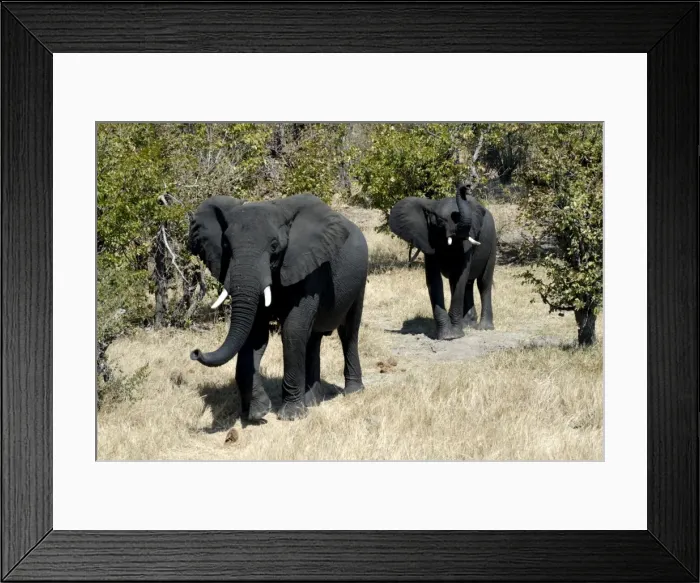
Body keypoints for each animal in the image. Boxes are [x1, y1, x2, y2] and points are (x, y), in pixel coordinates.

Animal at [189, 193, 369, 422]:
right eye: (226, 245)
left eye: (274, 246)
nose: (195, 352)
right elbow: (255, 335)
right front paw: (258, 412)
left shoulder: (310, 268)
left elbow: (293, 330)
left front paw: (291, 416)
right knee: (313, 339)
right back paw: (313, 401)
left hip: (360, 278)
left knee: (349, 332)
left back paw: (353, 392)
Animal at [389, 183, 497, 340]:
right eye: (440, 222)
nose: (466, 186)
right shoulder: (428, 239)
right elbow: (434, 279)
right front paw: (447, 336)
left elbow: (460, 275)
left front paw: (456, 335)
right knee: (466, 284)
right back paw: (468, 324)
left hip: (493, 242)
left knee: (483, 283)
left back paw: (484, 328)